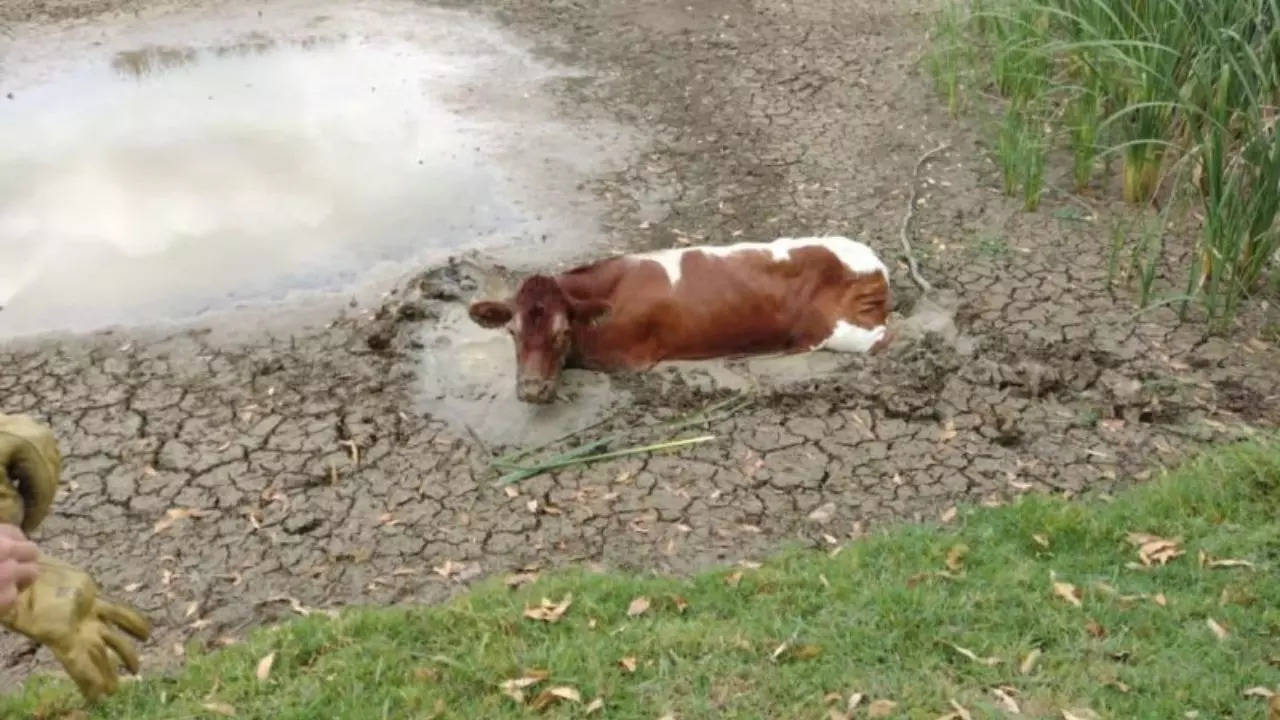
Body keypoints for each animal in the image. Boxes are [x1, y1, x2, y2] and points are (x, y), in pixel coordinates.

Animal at [465, 237, 896, 399]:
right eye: (511, 331)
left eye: (562, 332)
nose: (531, 391)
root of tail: (874, 263)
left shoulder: (627, 360)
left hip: (843, 331)